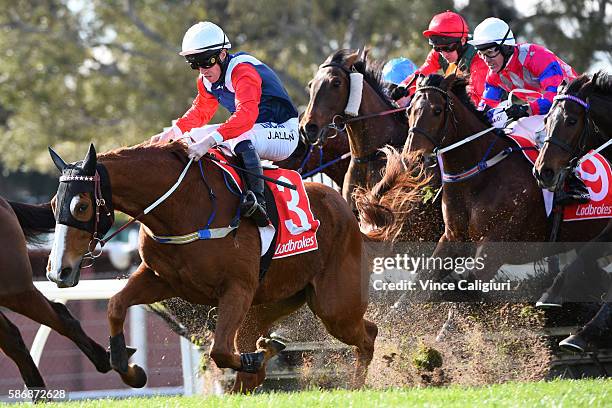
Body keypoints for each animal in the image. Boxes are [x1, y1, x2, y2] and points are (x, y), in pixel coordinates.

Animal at [44, 143, 378, 392]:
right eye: (52, 205)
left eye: (81, 206)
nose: (58, 271)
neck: (182, 207)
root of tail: (345, 208)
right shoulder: (159, 279)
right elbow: (115, 305)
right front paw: (129, 368)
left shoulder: (237, 288)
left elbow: (220, 351)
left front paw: (258, 356)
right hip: (274, 301)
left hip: (334, 305)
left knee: (367, 335)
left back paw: (355, 387)